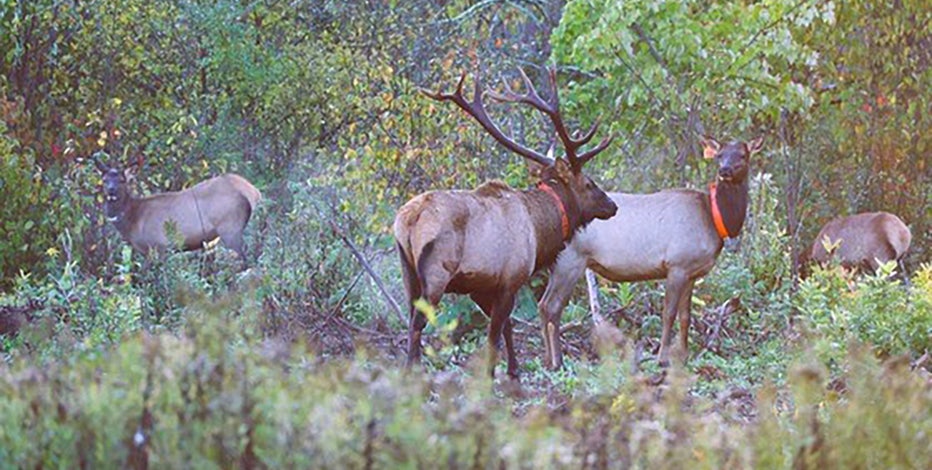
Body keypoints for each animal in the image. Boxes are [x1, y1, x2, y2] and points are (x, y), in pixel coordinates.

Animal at [97, 160, 261, 266]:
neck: (133, 219)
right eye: (104, 180)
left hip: (230, 227)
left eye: (122, 180)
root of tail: (253, 192)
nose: (111, 190)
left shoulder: (159, 245)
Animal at [394, 67, 618, 379]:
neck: (540, 230)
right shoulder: (512, 277)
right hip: (437, 272)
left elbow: (507, 328)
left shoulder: (481, 286)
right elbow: (495, 333)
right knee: (418, 321)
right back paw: (412, 372)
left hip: (407, 271)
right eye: (589, 183)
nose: (612, 205)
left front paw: (513, 370)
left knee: (409, 317)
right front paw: (493, 374)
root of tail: (408, 220)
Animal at [537, 135, 764, 368]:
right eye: (720, 155)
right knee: (552, 306)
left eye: (743, 155)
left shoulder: (692, 273)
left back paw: (547, 359)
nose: (724, 170)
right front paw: (662, 358)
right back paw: (556, 360)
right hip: (571, 261)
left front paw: (684, 357)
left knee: (542, 305)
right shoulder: (677, 265)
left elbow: (686, 316)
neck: (713, 219)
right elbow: (669, 314)